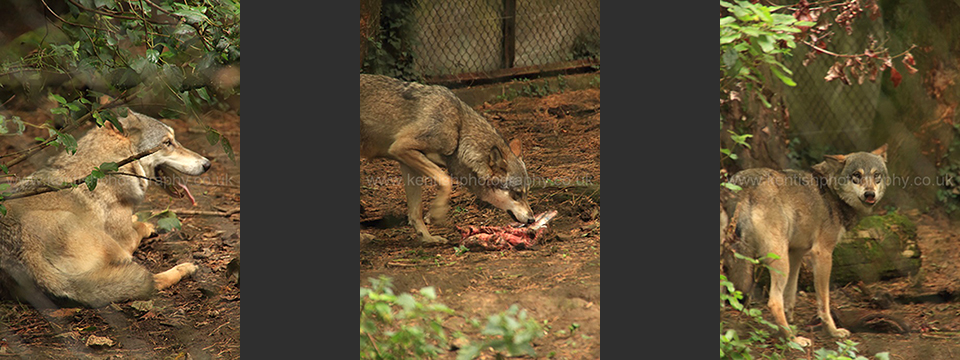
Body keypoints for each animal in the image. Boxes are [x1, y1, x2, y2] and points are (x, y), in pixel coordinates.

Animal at [0, 109, 211, 306]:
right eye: (167, 143)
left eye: (174, 140)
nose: (207, 164)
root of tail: (28, 256)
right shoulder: (125, 240)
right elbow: (137, 230)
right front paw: (144, 225)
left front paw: (137, 219)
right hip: (113, 248)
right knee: (152, 281)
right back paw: (185, 268)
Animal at [358, 75, 532, 245]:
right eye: (517, 194)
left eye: (526, 193)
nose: (531, 219)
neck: (459, 131)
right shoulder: (400, 148)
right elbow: (446, 180)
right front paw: (436, 213)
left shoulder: (408, 165)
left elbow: (415, 212)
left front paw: (427, 238)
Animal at [720, 144, 892, 346]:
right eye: (856, 175)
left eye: (876, 175)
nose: (870, 194)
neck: (831, 192)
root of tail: (742, 185)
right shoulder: (822, 254)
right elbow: (824, 302)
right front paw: (832, 331)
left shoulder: (796, 252)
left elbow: (791, 294)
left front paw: (792, 319)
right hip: (779, 261)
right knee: (773, 301)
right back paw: (793, 340)